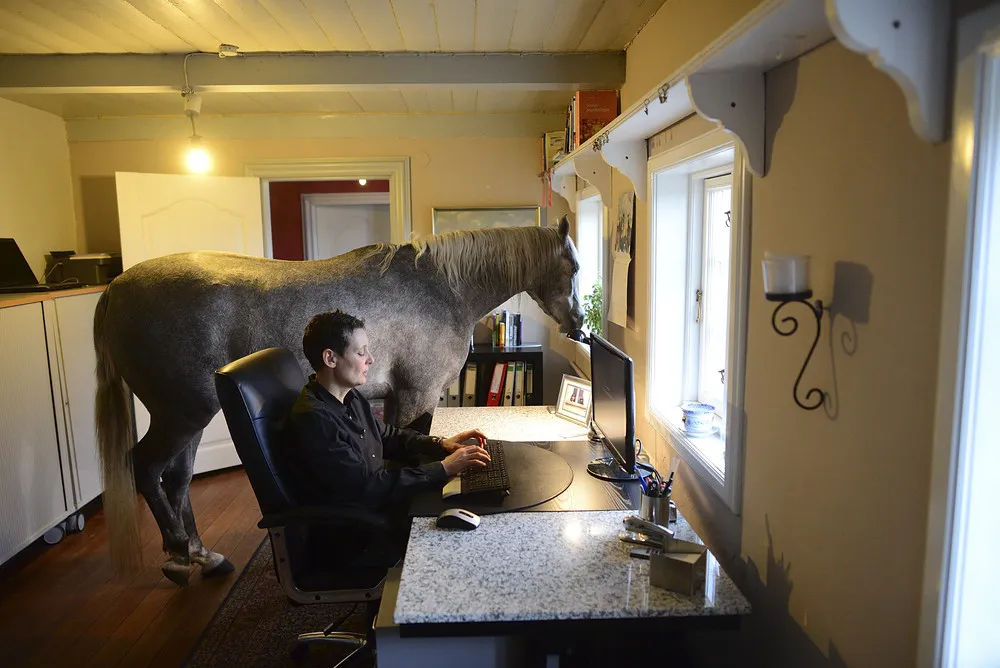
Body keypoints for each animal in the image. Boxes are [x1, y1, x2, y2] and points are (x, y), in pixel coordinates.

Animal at [94, 219, 584, 584]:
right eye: (575, 266)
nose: (579, 324)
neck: (442, 291)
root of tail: (115, 287)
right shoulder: (416, 396)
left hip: (191, 418)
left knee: (176, 479)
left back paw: (202, 556)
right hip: (181, 414)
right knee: (147, 468)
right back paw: (179, 555)